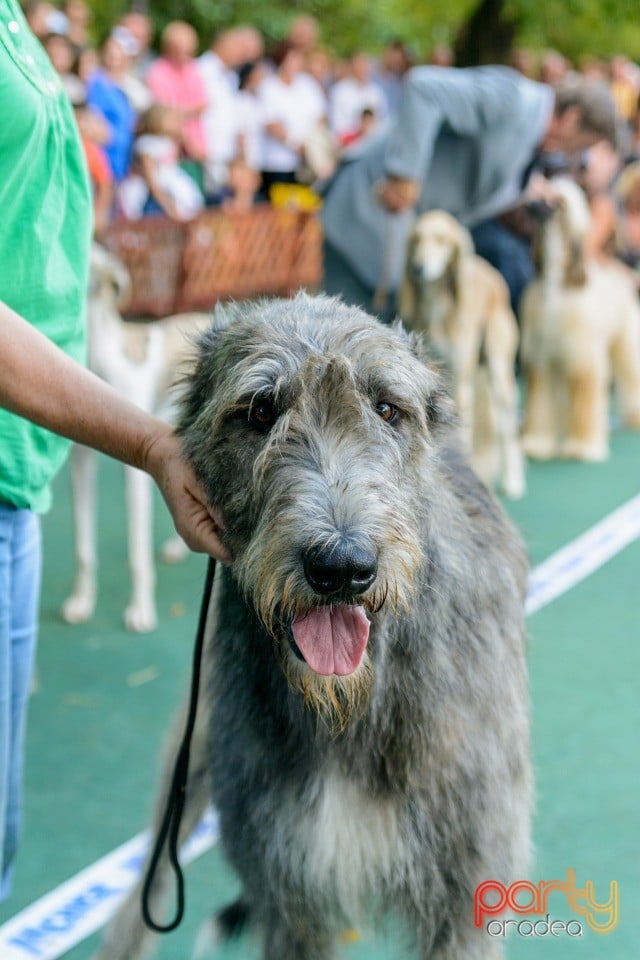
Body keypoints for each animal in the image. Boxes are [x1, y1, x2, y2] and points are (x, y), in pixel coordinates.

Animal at [92, 294, 528, 960]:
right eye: (259, 410)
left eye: (387, 409)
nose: (341, 566)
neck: (349, 709)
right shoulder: (287, 895)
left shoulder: (464, 889)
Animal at [520, 181, 640, 464]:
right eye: (544, 189)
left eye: (557, 201)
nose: (528, 203)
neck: (557, 285)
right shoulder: (543, 358)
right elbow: (540, 403)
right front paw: (538, 444)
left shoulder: (581, 358)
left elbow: (585, 402)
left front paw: (581, 447)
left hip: (625, 342)